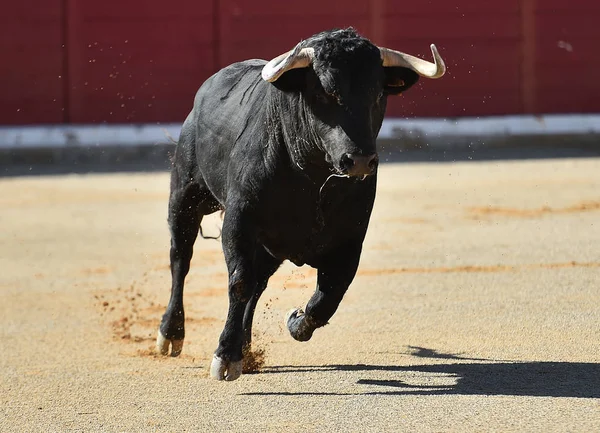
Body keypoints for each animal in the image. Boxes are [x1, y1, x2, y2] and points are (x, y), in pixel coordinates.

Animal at [156, 27, 446, 380]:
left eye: (378, 95)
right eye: (323, 94)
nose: (359, 160)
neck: (311, 179)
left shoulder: (350, 240)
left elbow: (328, 297)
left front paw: (294, 320)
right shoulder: (239, 223)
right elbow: (239, 283)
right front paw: (224, 356)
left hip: (269, 247)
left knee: (259, 284)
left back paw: (246, 348)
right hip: (185, 195)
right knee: (180, 258)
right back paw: (171, 334)